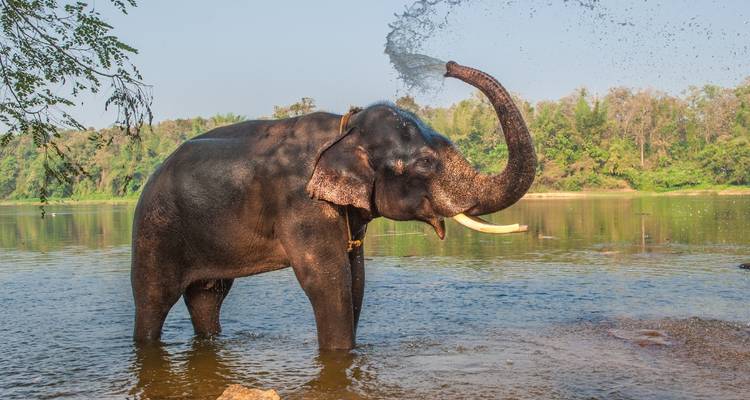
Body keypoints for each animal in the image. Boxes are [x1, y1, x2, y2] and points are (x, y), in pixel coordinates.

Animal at [131, 61, 537, 350]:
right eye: (424, 163)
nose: (449, 66)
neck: (346, 127)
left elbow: (355, 276)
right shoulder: (301, 202)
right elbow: (327, 279)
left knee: (208, 295)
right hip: (156, 227)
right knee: (154, 298)